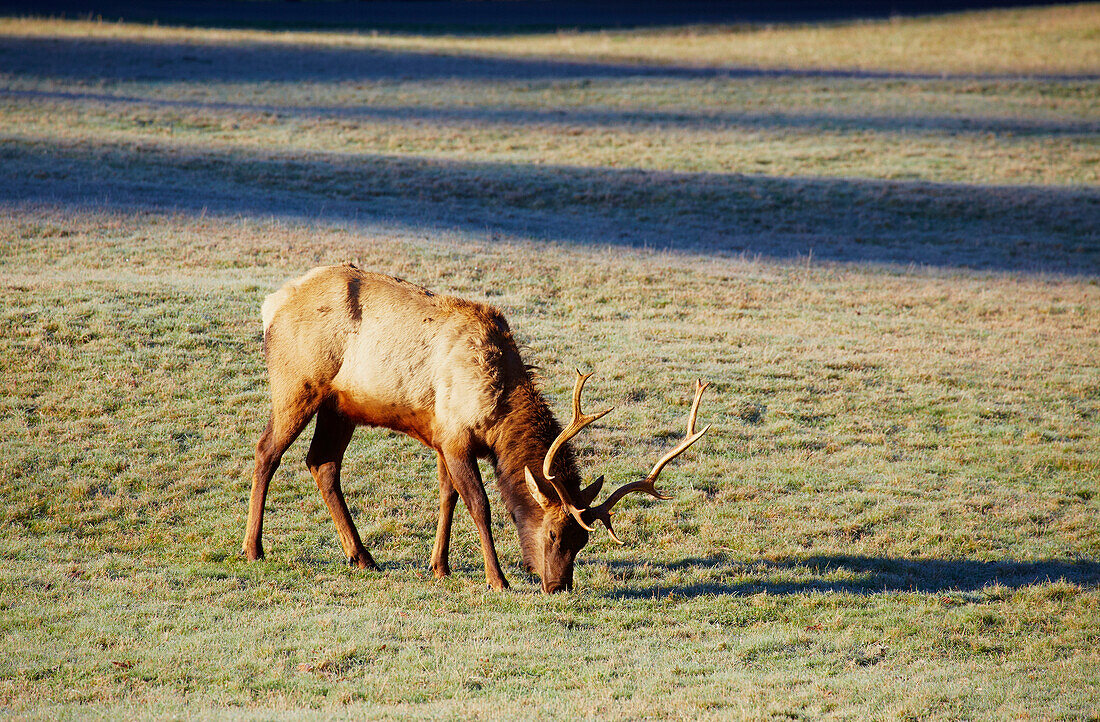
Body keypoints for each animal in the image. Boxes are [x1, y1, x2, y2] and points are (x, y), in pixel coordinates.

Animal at [244, 265, 708, 594]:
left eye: (582, 542)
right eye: (554, 532)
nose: (559, 586)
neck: (497, 410)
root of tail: (270, 305)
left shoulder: (440, 436)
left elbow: (447, 497)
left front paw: (440, 566)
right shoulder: (455, 436)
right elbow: (479, 505)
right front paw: (497, 579)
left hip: (340, 406)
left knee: (321, 463)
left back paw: (362, 556)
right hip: (297, 383)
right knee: (267, 451)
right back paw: (253, 548)